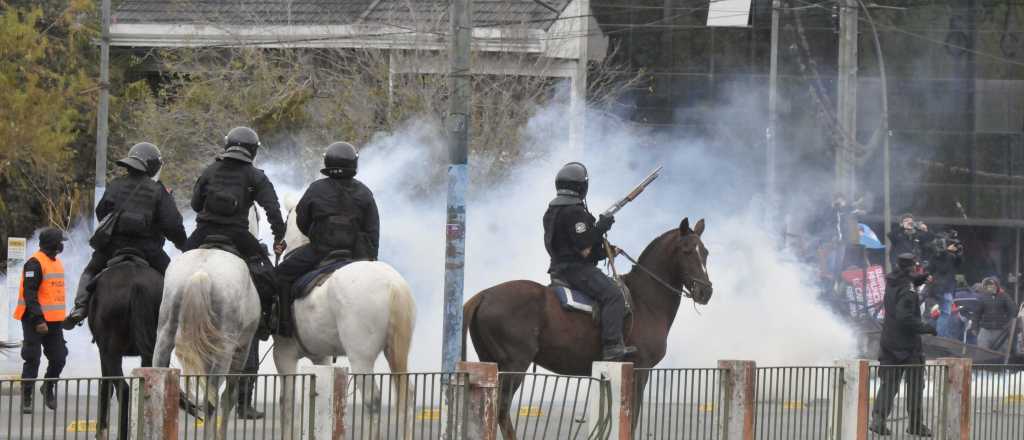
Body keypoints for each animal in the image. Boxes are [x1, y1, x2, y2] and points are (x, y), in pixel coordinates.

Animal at [153, 208, 264, 435]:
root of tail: (200, 274)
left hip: (165, 335)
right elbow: (229, 396)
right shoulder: (242, 349)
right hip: (225, 350)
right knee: (211, 400)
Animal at [276, 196, 415, 435]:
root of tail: (392, 284)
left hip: (361, 357)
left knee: (372, 400)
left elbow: (287, 402)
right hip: (396, 352)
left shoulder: (284, 355)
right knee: (407, 396)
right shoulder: (320, 357)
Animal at [464, 216, 712, 440]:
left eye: (705, 252)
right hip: (513, 366)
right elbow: (631, 418)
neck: (645, 302)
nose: (705, 291)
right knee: (501, 411)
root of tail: (484, 294)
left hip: (491, 363)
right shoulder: (640, 369)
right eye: (686, 251)